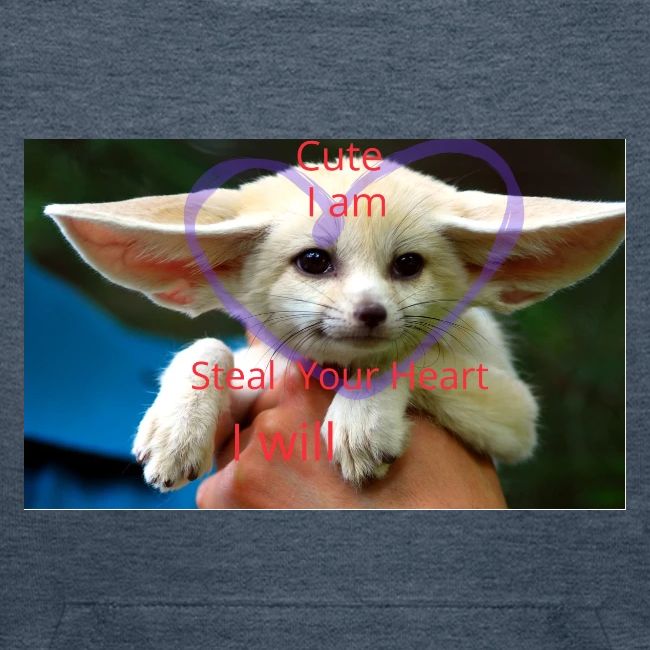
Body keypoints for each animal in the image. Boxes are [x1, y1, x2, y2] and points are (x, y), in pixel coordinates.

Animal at [45, 159, 625, 490]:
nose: (372, 314)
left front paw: (362, 421)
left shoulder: (517, 418)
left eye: (408, 265)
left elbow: (407, 356)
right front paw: (175, 431)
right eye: (314, 261)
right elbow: (208, 345)